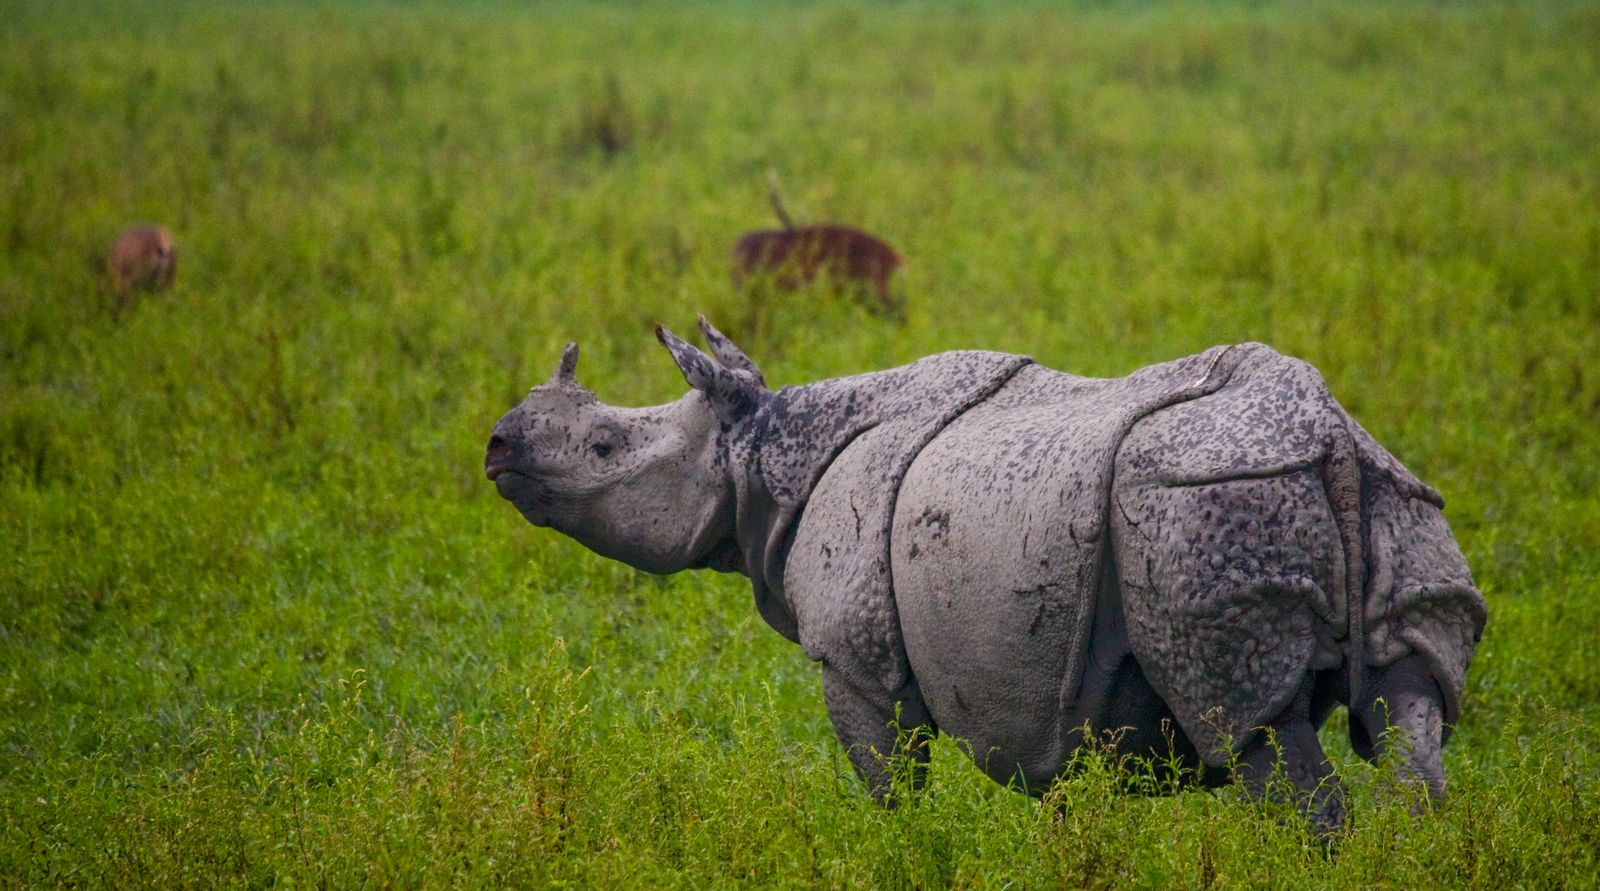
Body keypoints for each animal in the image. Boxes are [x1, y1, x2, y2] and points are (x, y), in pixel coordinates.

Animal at [484, 318, 1486, 830]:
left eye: (603, 446)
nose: (497, 445)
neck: (755, 450)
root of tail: (1329, 435)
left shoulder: (854, 658)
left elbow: (890, 786)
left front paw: (900, 854)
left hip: (1205, 502)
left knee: (1250, 728)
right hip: (1388, 492)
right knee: (1409, 702)